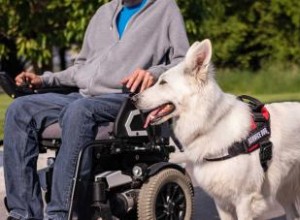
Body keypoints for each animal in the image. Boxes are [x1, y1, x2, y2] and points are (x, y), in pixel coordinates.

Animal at [135, 39, 300, 220]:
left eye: (163, 83)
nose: (133, 98)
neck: (212, 123)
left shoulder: (245, 201)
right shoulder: (221, 203)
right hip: (284, 191)